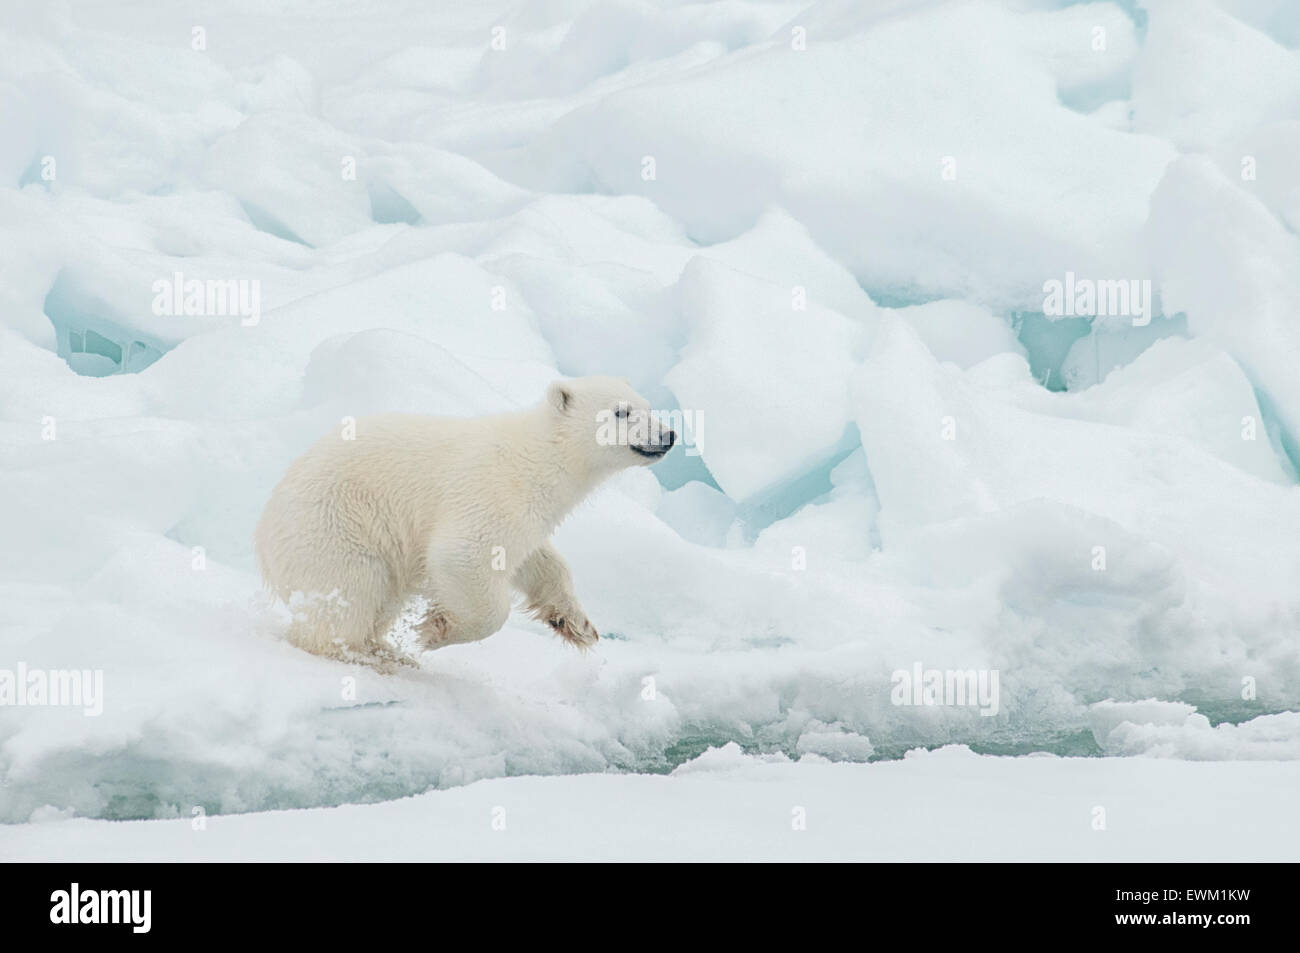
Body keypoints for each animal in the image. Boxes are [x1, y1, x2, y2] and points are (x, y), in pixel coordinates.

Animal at [256, 374, 681, 660]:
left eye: (647, 406)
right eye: (621, 412)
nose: (669, 434)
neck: (540, 458)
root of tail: (264, 537)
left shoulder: (529, 515)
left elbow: (538, 561)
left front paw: (577, 625)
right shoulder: (492, 491)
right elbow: (464, 556)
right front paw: (436, 630)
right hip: (335, 528)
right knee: (350, 590)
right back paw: (365, 653)